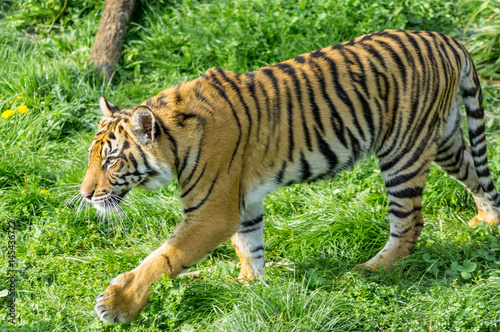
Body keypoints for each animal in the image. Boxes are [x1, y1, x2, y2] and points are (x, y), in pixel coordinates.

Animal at [81, 29, 500, 322]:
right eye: (92, 157)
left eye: (112, 161)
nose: (85, 195)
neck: (174, 140)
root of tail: (448, 40)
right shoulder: (244, 201)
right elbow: (249, 245)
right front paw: (247, 286)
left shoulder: (212, 211)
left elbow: (165, 257)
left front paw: (117, 303)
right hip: (442, 138)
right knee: (476, 176)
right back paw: (487, 222)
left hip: (403, 151)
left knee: (409, 223)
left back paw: (367, 270)